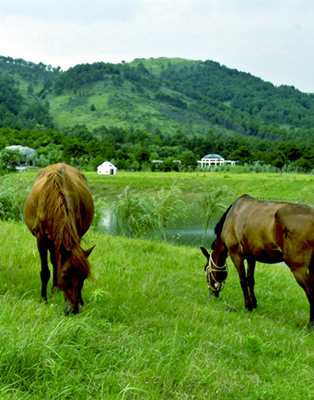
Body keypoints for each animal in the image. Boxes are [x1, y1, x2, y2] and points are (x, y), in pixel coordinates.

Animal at [24, 164, 94, 314]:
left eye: (84, 277)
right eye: (65, 276)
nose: (73, 311)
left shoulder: (76, 236)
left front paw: (81, 301)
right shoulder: (41, 239)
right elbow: (45, 272)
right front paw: (43, 299)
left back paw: (55, 289)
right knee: (54, 261)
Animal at [200, 194, 314, 328]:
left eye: (206, 269)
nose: (212, 294)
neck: (231, 216)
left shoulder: (236, 255)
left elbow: (243, 281)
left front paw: (247, 306)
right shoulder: (251, 257)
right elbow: (251, 280)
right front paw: (253, 304)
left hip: (298, 267)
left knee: (310, 292)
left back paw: (311, 324)